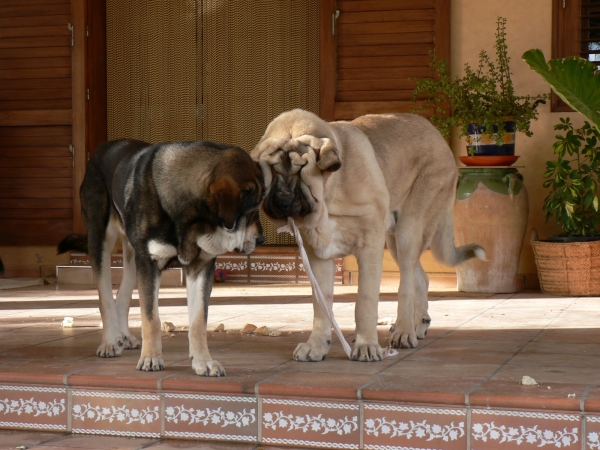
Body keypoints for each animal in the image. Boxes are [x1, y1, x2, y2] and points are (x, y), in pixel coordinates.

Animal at [59, 140, 264, 376]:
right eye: (251, 211)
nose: (262, 239)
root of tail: (101, 149)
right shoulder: (149, 264)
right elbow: (151, 318)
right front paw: (150, 358)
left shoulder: (200, 267)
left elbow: (198, 321)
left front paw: (203, 361)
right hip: (100, 240)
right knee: (105, 297)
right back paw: (110, 341)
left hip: (133, 257)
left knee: (122, 295)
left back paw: (123, 336)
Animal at [251, 110, 486, 362]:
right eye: (272, 171)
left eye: (301, 172)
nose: (282, 202)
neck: (330, 192)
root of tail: (438, 136)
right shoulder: (318, 257)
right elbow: (321, 306)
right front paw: (316, 345)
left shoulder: (370, 248)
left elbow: (365, 301)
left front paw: (366, 346)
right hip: (394, 238)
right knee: (419, 278)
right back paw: (418, 325)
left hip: (409, 229)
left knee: (406, 284)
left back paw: (404, 331)